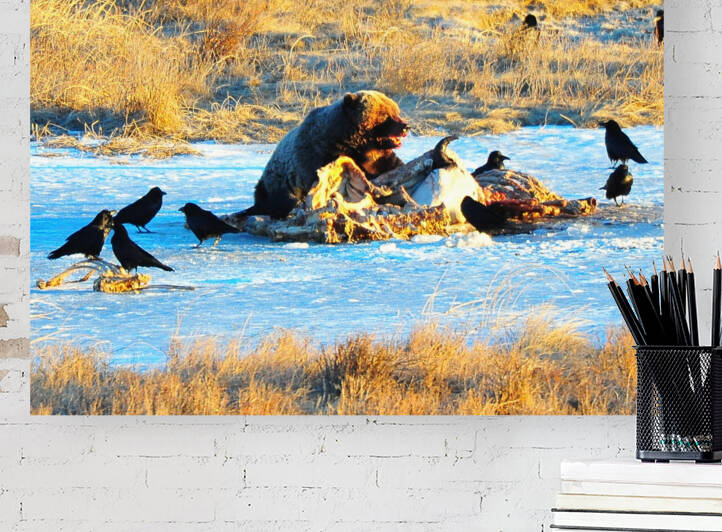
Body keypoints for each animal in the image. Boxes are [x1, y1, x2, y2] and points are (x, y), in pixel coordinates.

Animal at [239, 90, 409, 220]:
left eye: (396, 111)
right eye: (385, 115)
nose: (406, 126)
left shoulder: (378, 158)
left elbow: (392, 165)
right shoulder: (320, 155)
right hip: (276, 184)